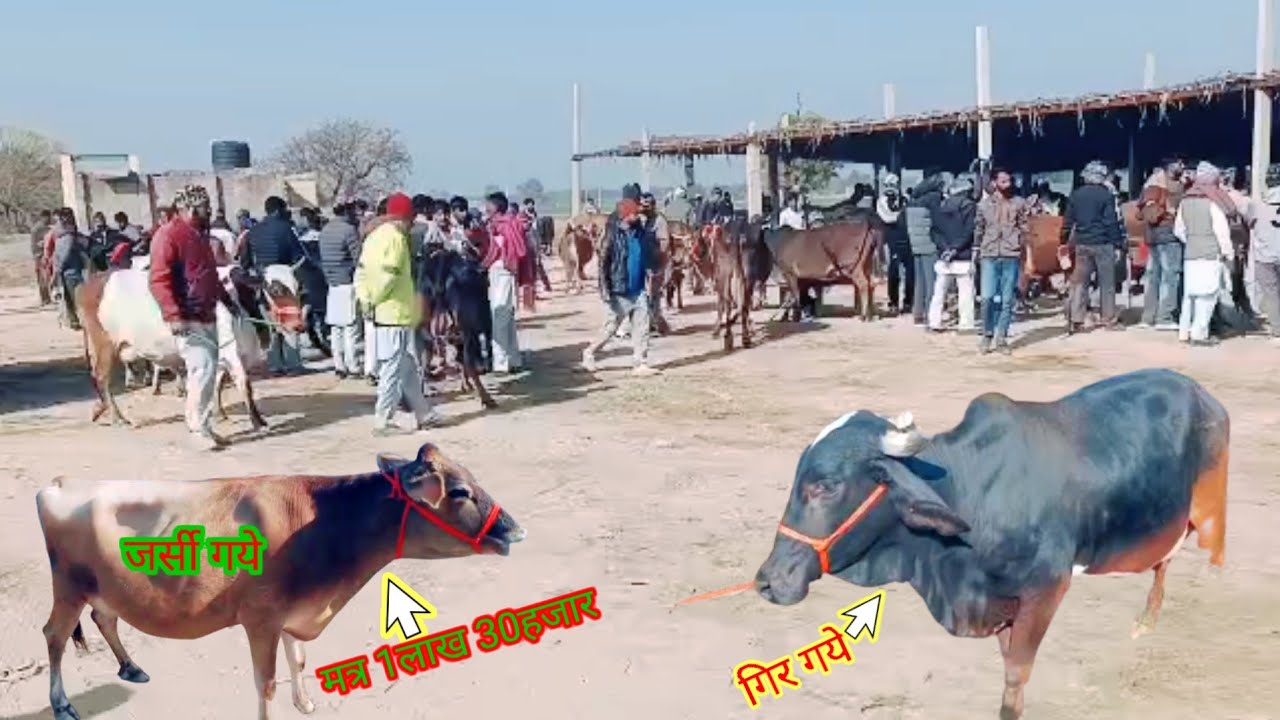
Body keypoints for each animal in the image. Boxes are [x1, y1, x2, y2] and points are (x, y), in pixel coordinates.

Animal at [35, 442, 525, 720]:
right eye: (459, 491)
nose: (515, 531)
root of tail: (60, 482)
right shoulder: (262, 619)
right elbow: (266, 682)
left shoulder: (295, 611)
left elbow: (299, 662)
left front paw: (305, 703)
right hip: (68, 586)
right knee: (55, 635)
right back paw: (62, 704)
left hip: (104, 587)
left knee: (105, 618)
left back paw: (131, 667)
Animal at [753, 369, 1229, 719]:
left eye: (826, 486)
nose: (768, 581)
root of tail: (1200, 392)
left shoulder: (1046, 589)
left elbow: (1016, 677)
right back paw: (1146, 621)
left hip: (1207, 511)